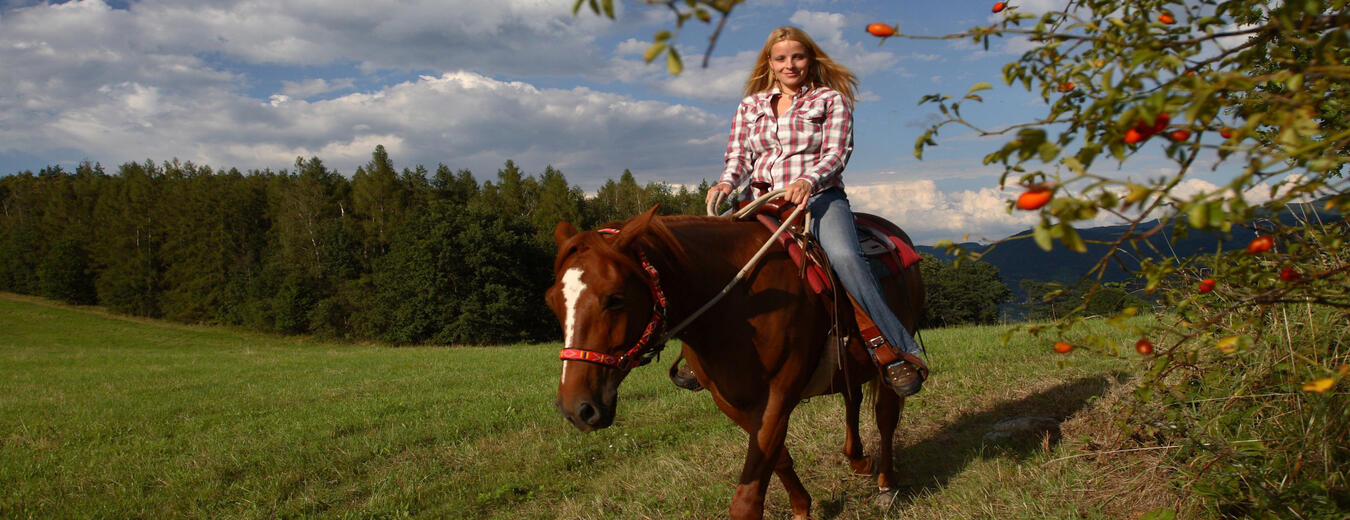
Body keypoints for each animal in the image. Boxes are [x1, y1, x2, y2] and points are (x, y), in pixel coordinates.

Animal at [545, 206, 918, 518]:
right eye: (552, 302)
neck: (739, 304)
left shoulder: (779, 395)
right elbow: (777, 457)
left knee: (885, 416)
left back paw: (886, 485)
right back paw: (858, 460)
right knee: (852, 397)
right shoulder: (730, 401)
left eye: (615, 298)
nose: (577, 409)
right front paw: (802, 506)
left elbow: (747, 498)